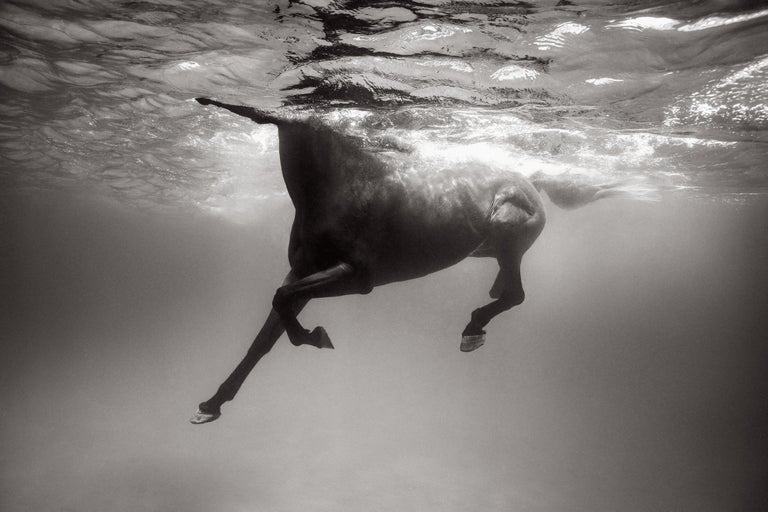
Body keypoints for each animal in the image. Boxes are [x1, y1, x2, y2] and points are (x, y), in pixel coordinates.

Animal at [190, 98, 620, 424]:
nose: (207, 101)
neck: (335, 188)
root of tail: (532, 181)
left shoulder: (357, 277)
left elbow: (281, 301)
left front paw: (315, 337)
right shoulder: (302, 272)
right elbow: (263, 338)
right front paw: (212, 405)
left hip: (508, 231)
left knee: (516, 293)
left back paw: (472, 331)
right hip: (487, 246)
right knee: (506, 285)